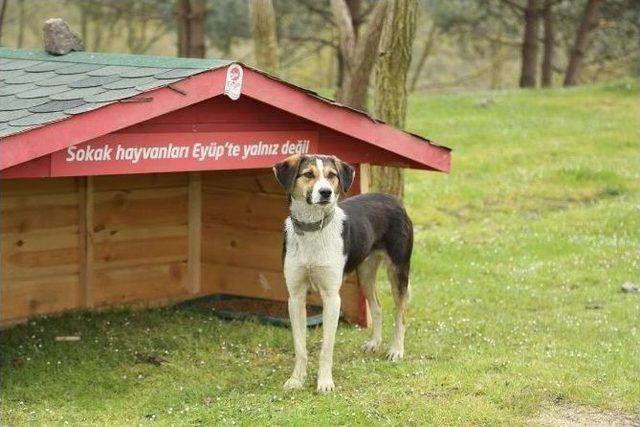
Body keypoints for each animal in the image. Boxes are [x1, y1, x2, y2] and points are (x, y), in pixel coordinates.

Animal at [272, 154, 412, 394]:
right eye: (308, 174)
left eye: (332, 175)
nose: (326, 192)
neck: (313, 229)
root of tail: (393, 199)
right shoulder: (295, 297)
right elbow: (300, 346)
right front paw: (297, 380)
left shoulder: (331, 298)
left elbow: (326, 347)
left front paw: (325, 382)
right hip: (365, 273)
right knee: (377, 307)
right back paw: (374, 343)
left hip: (398, 271)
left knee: (400, 313)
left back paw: (396, 350)